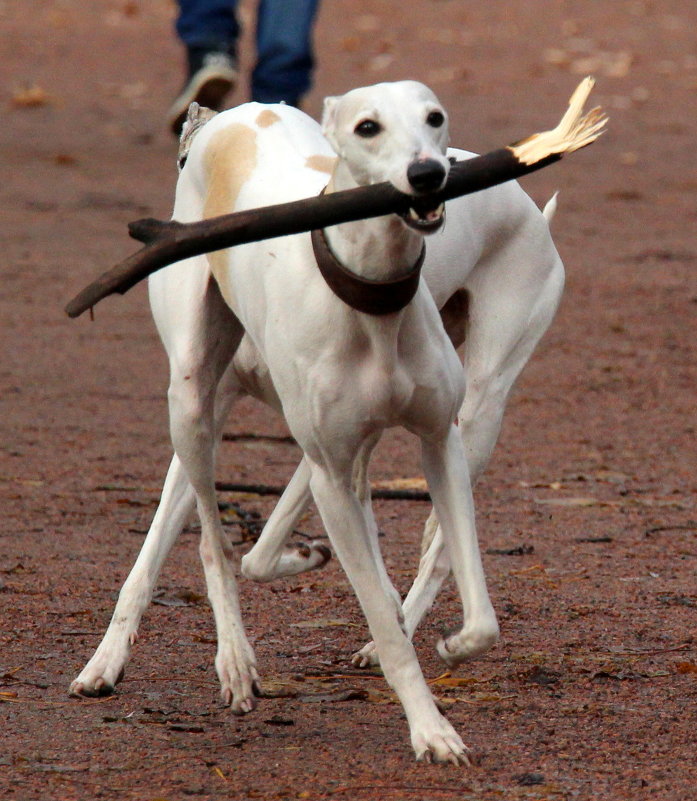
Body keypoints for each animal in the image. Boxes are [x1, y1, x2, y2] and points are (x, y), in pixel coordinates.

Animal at [72, 81, 572, 764]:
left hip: (481, 410)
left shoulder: (387, 443)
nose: (429, 175)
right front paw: (106, 662)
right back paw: (242, 655)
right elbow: (184, 550)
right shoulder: (270, 434)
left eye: (434, 118)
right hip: (192, 398)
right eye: (367, 128)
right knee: (218, 536)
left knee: (440, 543)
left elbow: (289, 553)